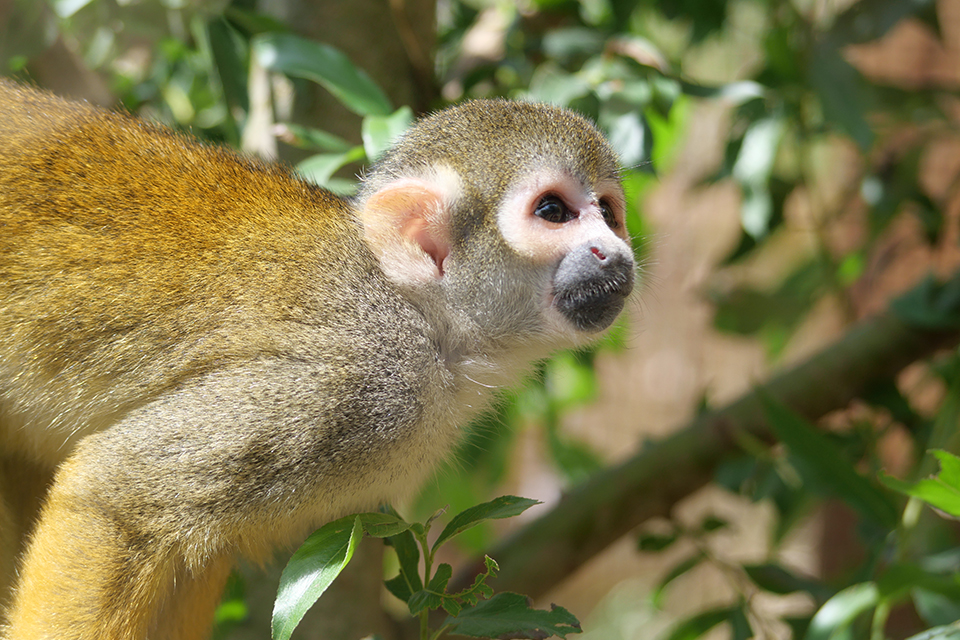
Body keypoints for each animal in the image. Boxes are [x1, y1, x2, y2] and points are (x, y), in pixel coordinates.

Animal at [0, 81, 636, 640]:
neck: (416, 316)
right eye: (553, 211)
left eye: (608, 212)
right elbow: (117, 490)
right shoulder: (344, 385)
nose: (617, 253)